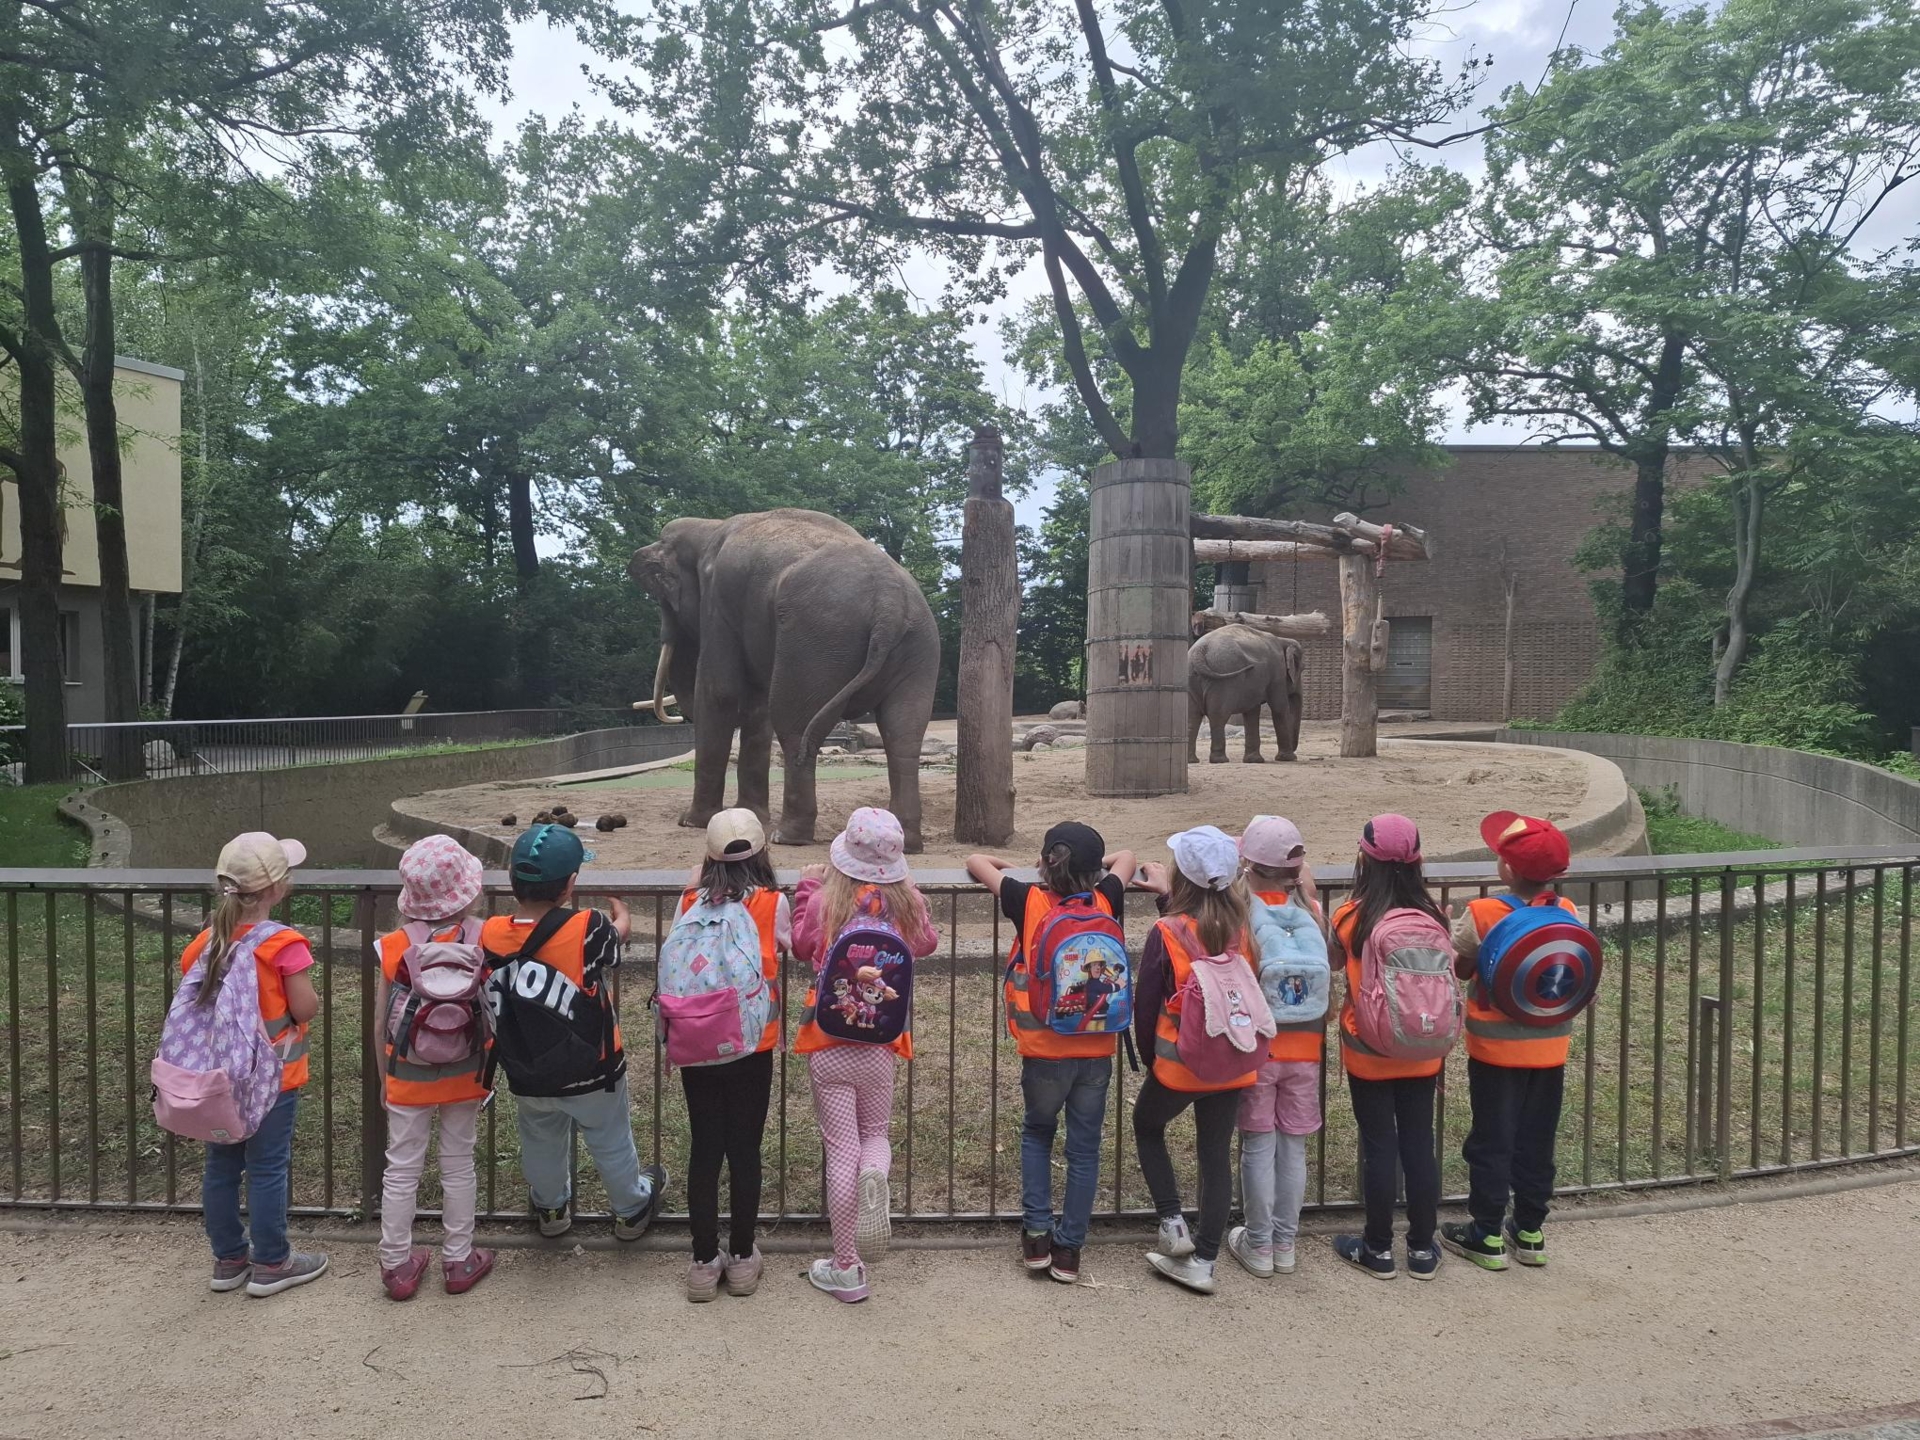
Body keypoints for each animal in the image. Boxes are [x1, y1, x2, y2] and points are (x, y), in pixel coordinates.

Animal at [625, 510, 940, 852]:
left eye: (661, 596)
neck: (708, 526)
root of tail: (889, 606)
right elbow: (755, 706)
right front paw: (749, 814)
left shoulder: (718, 603)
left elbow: (720, 693)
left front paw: (692, 821)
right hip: (919, 647)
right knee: (903, 735)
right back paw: (908, 844)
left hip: (816, 642)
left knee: (795, 727)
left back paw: (787, 837)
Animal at [1182, 625, 1305, 771]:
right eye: (1302, 669)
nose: (1295, 750)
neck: (1282, 640)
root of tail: (1199, 651)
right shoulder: (1277, 672)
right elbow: (1279, 708)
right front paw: (1288, 758)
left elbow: (1252, 712)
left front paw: (1254, 761)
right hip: (1223, 680)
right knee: (1218, 716)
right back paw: (1220, 760)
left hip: (1190, 677)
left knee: (1192, 717)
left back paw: (1192, 760)